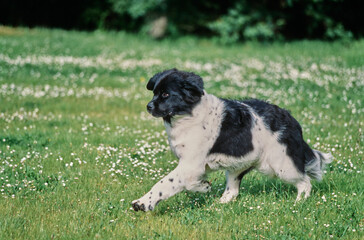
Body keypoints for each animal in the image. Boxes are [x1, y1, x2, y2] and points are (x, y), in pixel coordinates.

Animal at [132, 68, 332, 211]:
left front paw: (142, 203)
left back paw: (298, 203)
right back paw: (219, 204)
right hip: (239, 165)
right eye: (154, 93)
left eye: (165, 94)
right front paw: (203, 187)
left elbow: (165, 183)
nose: (149, 106)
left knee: (305, 182)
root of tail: (293, 121)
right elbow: (190, 183)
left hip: (282, 165)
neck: (189, 116)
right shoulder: (193, 165)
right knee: (233, 191)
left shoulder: (191, 164)